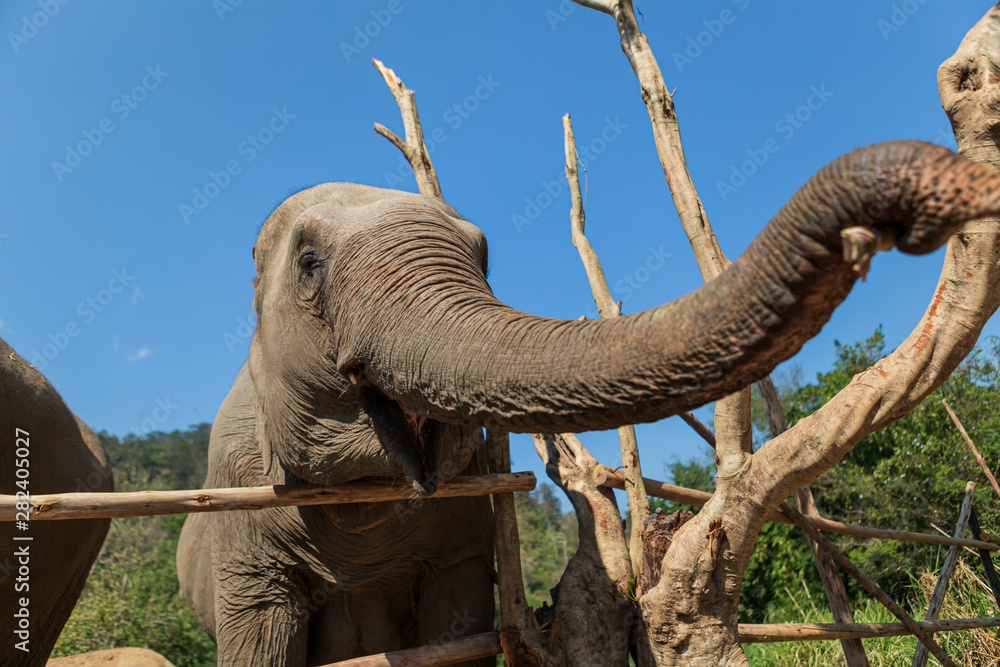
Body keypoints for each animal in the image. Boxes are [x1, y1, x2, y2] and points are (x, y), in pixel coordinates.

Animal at [177, 141, 1000, 665]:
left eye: (482, 254)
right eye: (311, 263)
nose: (921, 210)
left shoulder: (464, 536)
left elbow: (459, 623)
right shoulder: (245, 513)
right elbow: (259, 642)